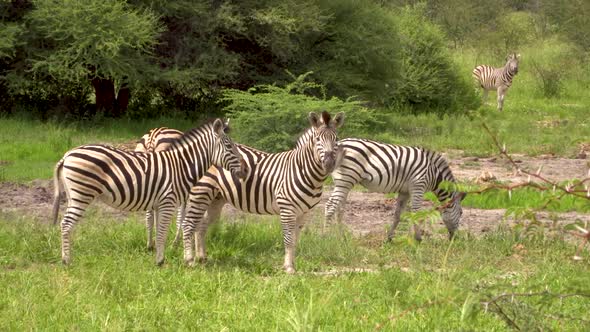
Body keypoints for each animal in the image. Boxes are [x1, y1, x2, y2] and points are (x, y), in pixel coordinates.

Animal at [50, 118, 245, 264]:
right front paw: (161, 261)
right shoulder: (169, 201)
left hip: (73, 195)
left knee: (66, 224)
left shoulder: (159, 203)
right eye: (229, 147)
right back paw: (67, 261)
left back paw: (66, 257)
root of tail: (67, 155)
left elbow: (159, 230)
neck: (181, 166)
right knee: (66, 224)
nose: (244, 170)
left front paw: (157, 253)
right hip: (81, 194)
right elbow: (166, 230)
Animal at [183, 111, 344, 272]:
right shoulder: (287, 209)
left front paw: (293, 265)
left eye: (336, 140)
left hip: (215, 199)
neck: (302, 170)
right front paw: (288, 268)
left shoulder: (304, 212)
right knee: (188, 224)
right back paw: (189, 260)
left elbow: (295, 241)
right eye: (317, 139)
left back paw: (201, 258)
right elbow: (288, 240)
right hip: (201, 192)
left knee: (201, 225)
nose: (329, 164)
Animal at [324, 138, 468, 241]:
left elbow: (397, 215)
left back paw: (342, 237)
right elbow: (416, 212)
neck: (433, 173)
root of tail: (338, 143)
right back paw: (325, 237)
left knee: (340, 209)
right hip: (345, 179)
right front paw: (418, 239)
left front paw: (389, 238)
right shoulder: (418, 185)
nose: (455, 238)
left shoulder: (405, 191)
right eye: (461, 212)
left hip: (346, 182)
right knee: (330, 205)